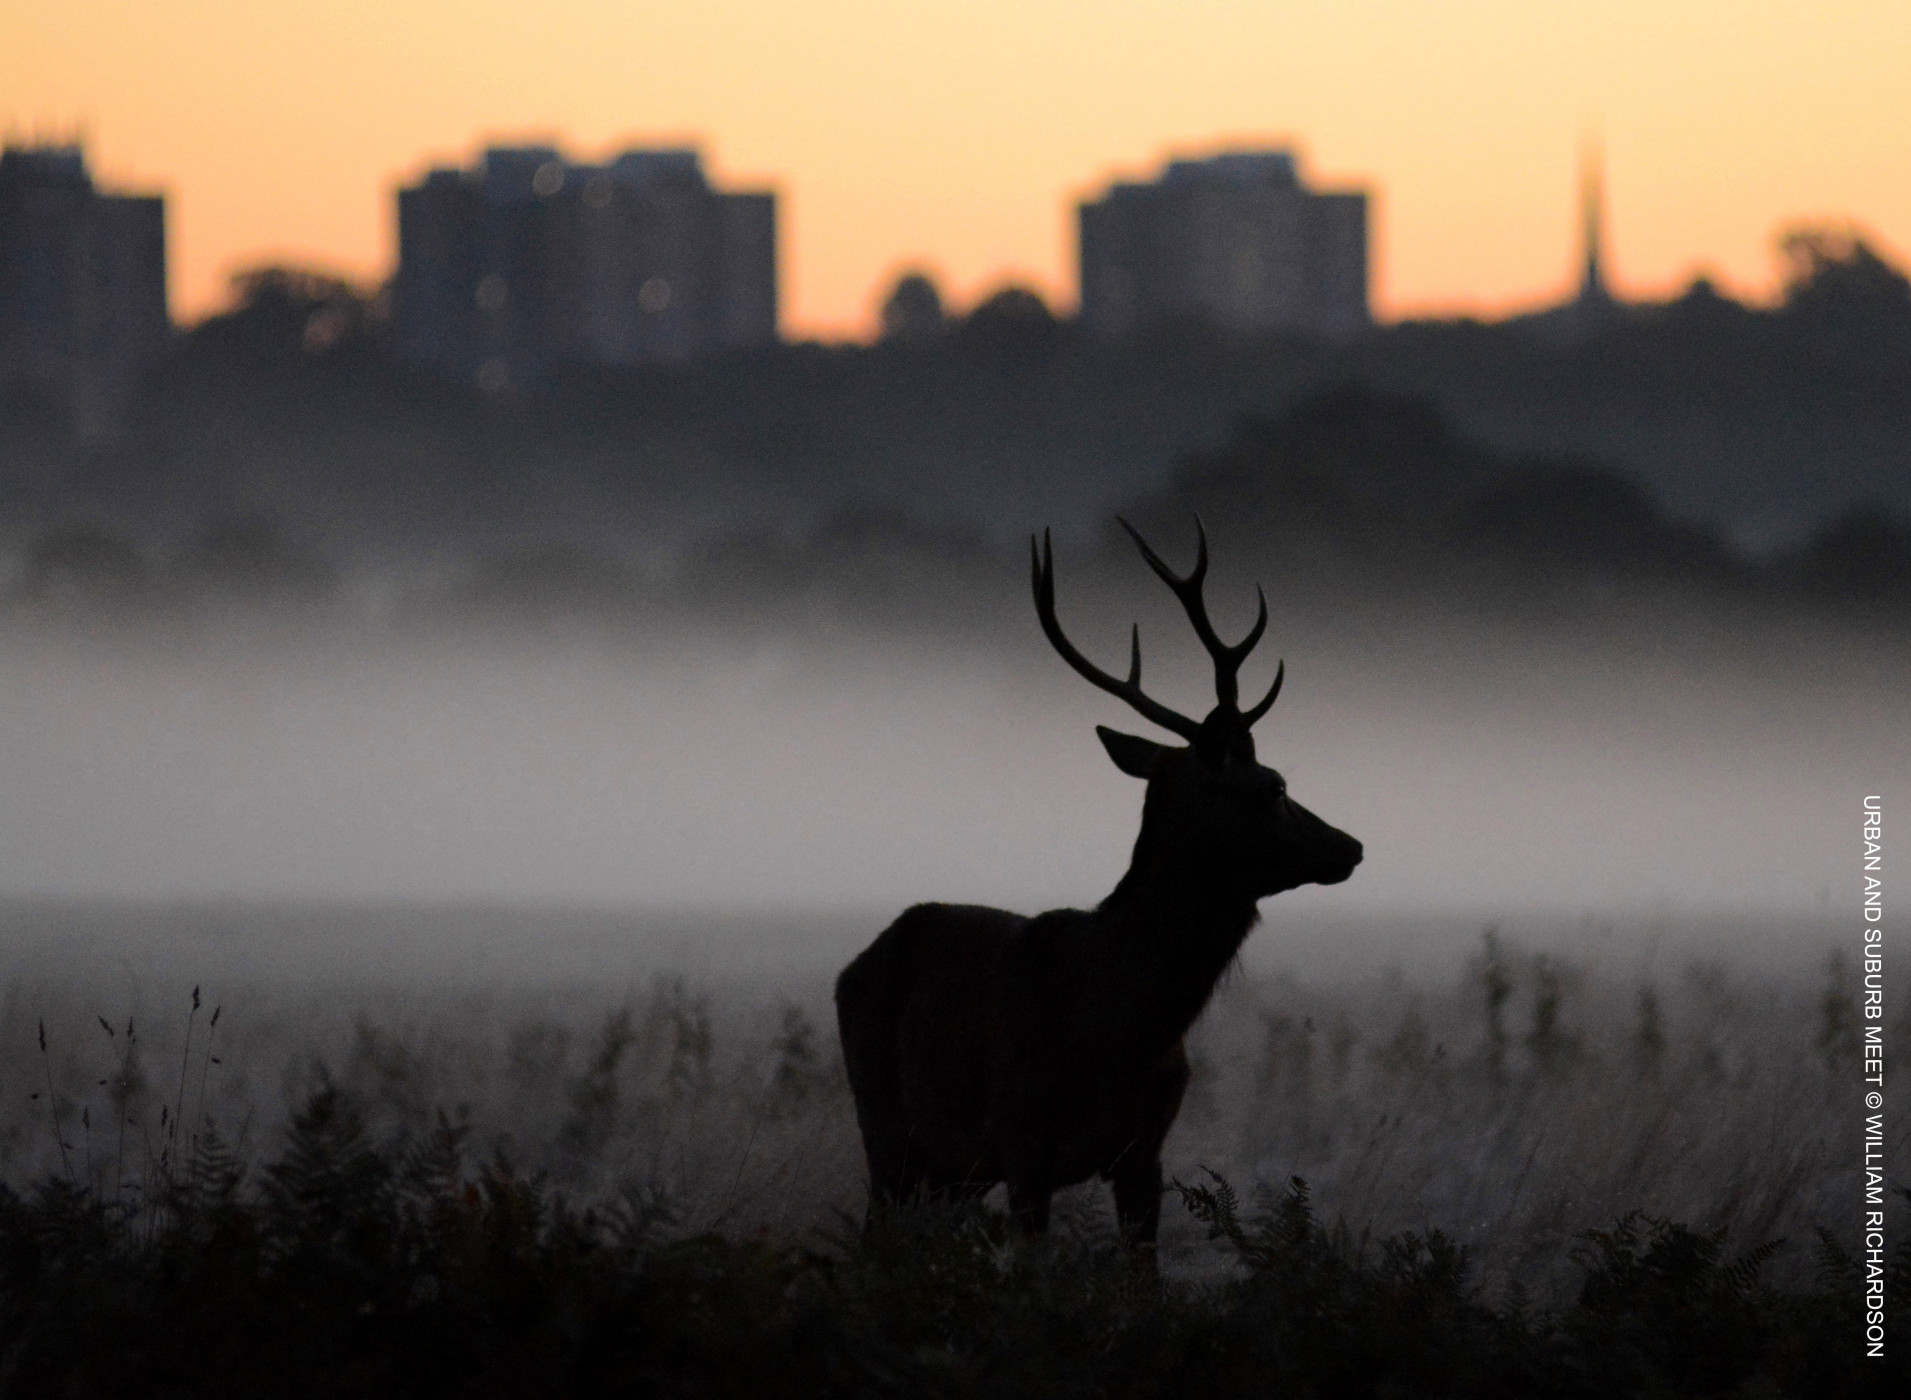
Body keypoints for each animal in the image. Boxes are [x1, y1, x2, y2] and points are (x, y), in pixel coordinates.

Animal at [833, 519, 1360, 1252]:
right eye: (1273, 785)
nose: (1350, 846)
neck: (1119, 1027)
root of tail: (854, 964)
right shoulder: (1022, 1143)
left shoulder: (1145, 1152)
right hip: (885, 1124)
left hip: (952, 1168)